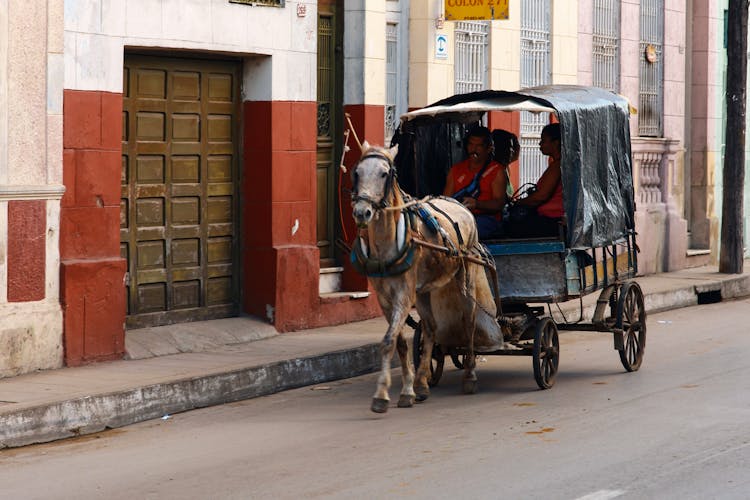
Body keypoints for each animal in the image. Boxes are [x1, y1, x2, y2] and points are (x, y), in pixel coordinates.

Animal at [352, 142, 506, 414]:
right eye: (357, 173)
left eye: (384, 173)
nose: (362, 212)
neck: (386, 243)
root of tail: (462, 206)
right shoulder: (384, 297)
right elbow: (400, 343)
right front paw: (407, 390)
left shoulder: (404, 295)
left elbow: (388, 341)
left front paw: (382, 396)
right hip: (423, 291)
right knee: (431, 329)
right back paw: (423, 383)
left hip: (465, 278)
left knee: (469, 322)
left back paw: (469, 375)